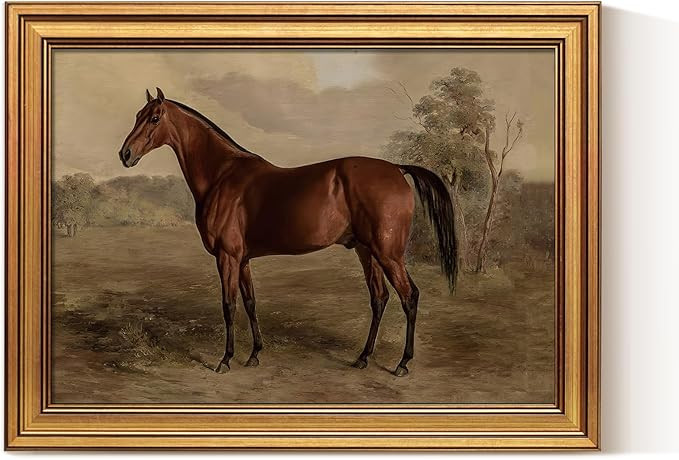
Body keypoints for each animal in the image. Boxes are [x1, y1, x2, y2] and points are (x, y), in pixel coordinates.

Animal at [118, 88, 457, 377]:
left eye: (154, 118)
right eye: (137, 115)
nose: (125, 154)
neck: (222, 176)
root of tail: (397, 169)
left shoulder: (227, 257)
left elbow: (228, 305)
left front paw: (225, 360)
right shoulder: (242, 259)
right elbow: (250, 302)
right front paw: (254, 354)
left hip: (389, 254)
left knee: (409, 296)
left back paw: (403, 363)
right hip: (367, 251)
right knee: (379, 298)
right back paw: (362, 358)